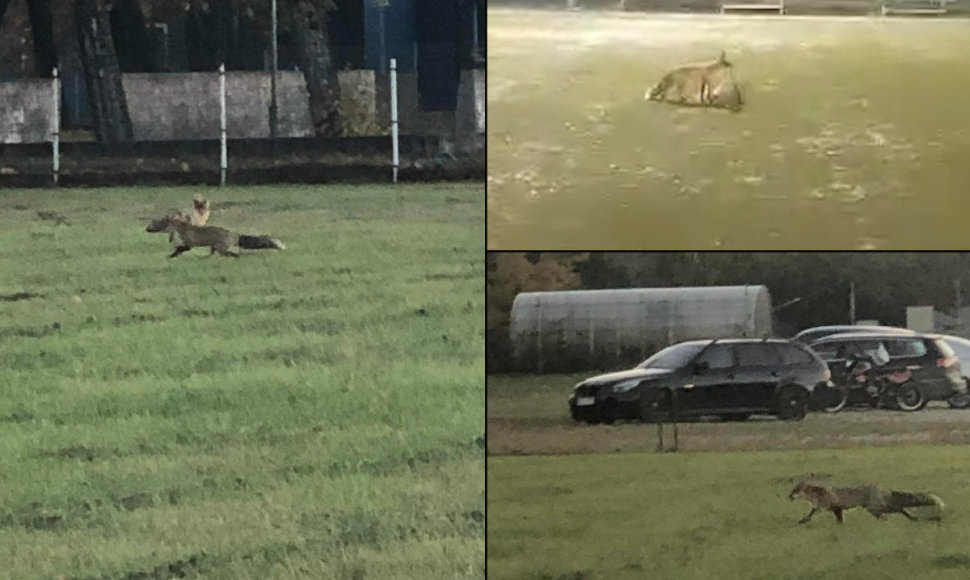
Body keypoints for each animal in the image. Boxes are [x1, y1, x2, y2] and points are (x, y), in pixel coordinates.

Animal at [145, 212, 284, 258]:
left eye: (156, 223)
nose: (146, 229)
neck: (180, 229)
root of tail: (235, 234)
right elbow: (178, 250)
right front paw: (172, 256)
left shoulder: (190, 243)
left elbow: (180, 249)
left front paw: (171, 256)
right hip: (215, 248)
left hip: (221, 248)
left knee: (234, 254)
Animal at [792, 480, 940, 524]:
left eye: (795, 490)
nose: (788, 496)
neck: (817, 494)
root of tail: (881, 489)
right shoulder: (837, 509)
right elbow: (839, 520)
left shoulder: (824, 506)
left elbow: (811, 513)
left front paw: (803, 520)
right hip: (882, 508)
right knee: (900, 508)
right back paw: (913, 518)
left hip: (875, 509)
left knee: (892, 513)